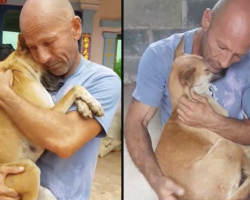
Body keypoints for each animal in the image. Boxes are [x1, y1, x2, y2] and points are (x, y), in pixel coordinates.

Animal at [0, 34, 104, 200]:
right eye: (46, 65)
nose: (62, 82)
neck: (18, 68)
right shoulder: (49, 112)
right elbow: (75, 88)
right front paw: (94, 103)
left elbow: (73, 92)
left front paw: (85, 107)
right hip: (30, 169)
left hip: (45, 191)